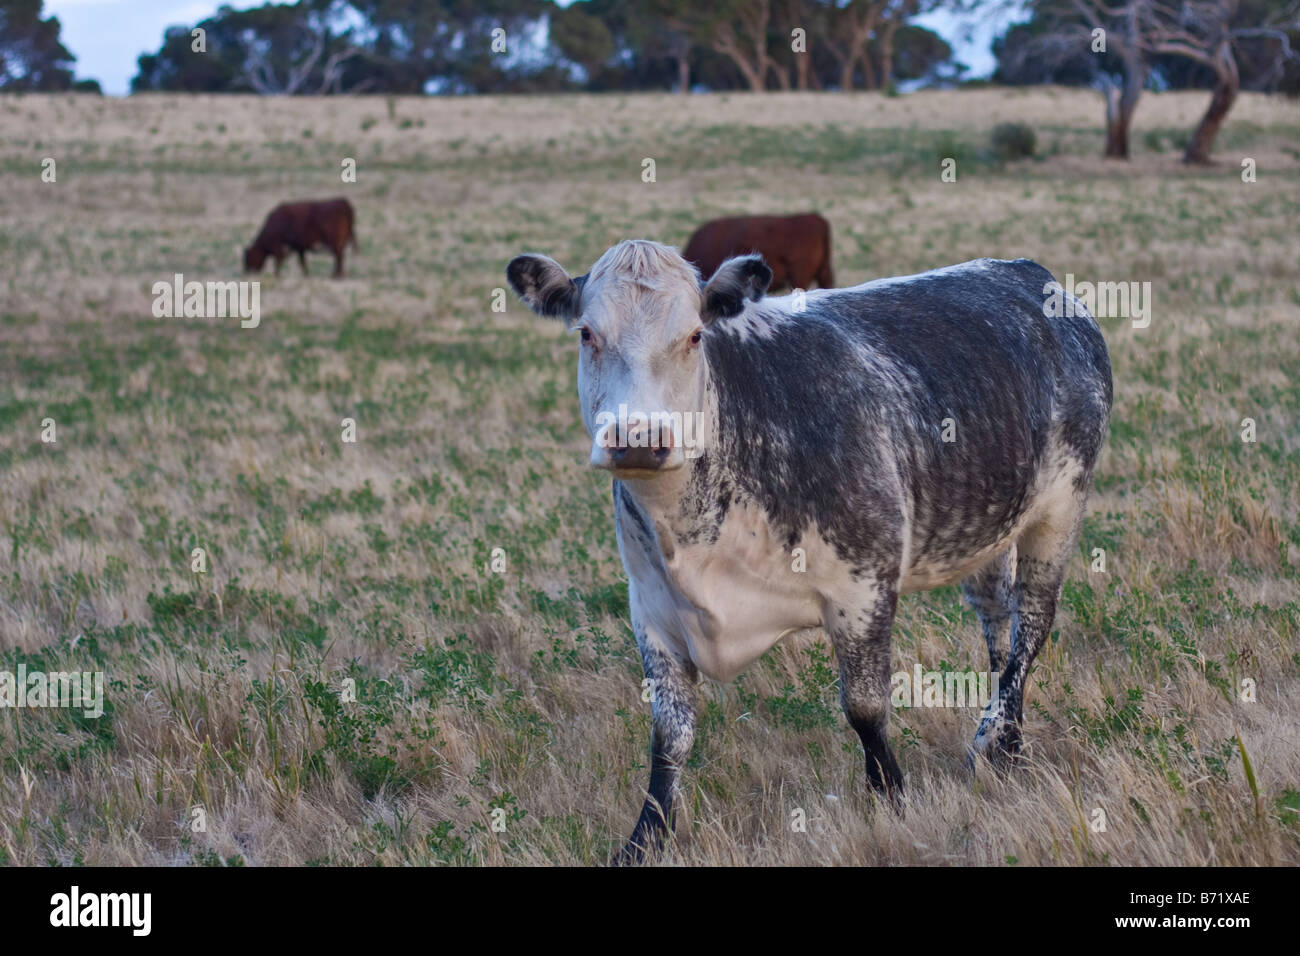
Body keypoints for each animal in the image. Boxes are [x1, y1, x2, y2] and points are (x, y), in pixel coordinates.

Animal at [501, 240, 1112, 868]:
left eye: (694, 335)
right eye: (586, 334)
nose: (639, 438)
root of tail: (1023, 270)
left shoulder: (864, 585)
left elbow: (865, 708)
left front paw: (893, 800)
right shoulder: (652, 609)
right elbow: (670, 735)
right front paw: (643, 840)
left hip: (1060, 509)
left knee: (1032, 624)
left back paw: (998, 744)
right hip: (989, 526)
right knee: (998, 626)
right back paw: (1001, 735)